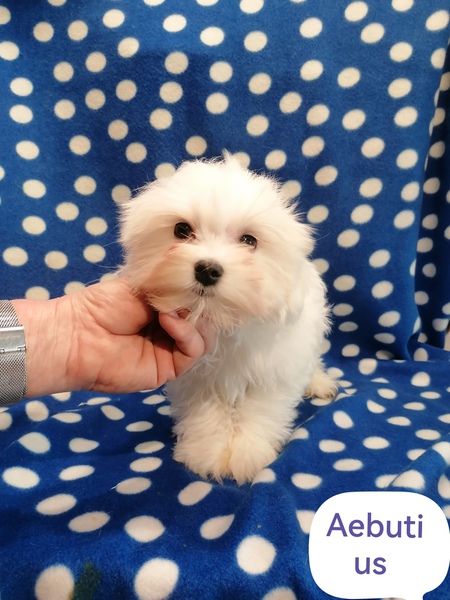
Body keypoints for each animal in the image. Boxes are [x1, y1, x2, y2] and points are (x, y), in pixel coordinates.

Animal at [120, 154, 337, 484]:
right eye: (181, 230)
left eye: (249, 240)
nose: (207, 269)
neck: (223, 322)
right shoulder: (196, 380)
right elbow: (206, 414)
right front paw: (207, 453)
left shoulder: (274, 372)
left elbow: (259, 412)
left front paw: (248, 454)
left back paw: (320, 383)